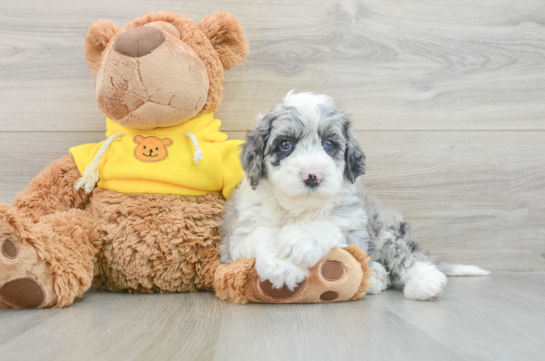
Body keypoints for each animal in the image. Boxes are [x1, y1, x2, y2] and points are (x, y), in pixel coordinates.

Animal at [219, 91, 486, 300]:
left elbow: (327, 225)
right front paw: (281, 266)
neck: (300, 208)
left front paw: (297, 240)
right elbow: (259, 236)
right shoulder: (237, 235)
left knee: (408, 253)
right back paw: (377, 277)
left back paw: (424, 281)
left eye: (329, 144)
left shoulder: (354, 226)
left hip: (383, 225)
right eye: (285, 145)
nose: (312, 175)